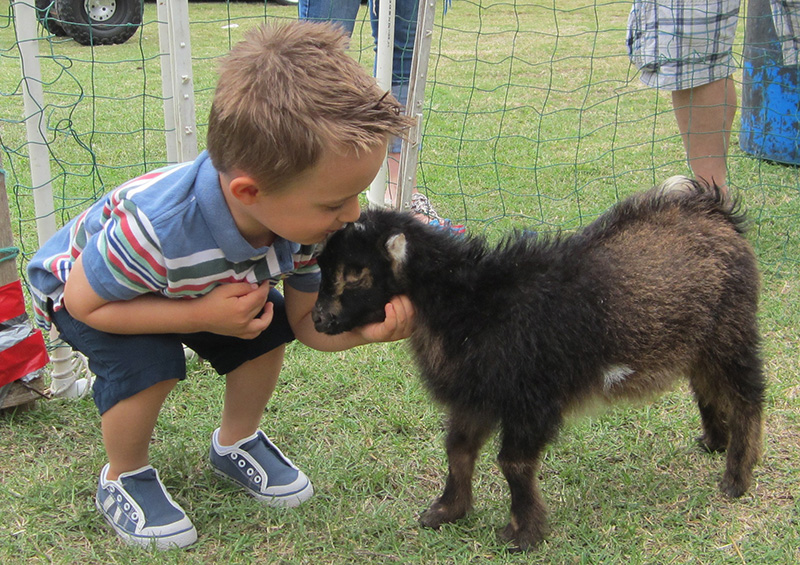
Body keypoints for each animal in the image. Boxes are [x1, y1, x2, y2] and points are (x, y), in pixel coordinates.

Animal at [311, 177, 765, 551]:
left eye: (356, 273)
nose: (318, 320)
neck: (473, 303)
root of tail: (713, 210)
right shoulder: (477, 395)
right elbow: (458, 449)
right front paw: (445, 512)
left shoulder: (531, 396)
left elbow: (512, 463)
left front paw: (522, 534)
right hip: (700, 342)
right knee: (707, 388)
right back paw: (713, 441)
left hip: (732, 330)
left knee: (747, 396)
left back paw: (736, 478)